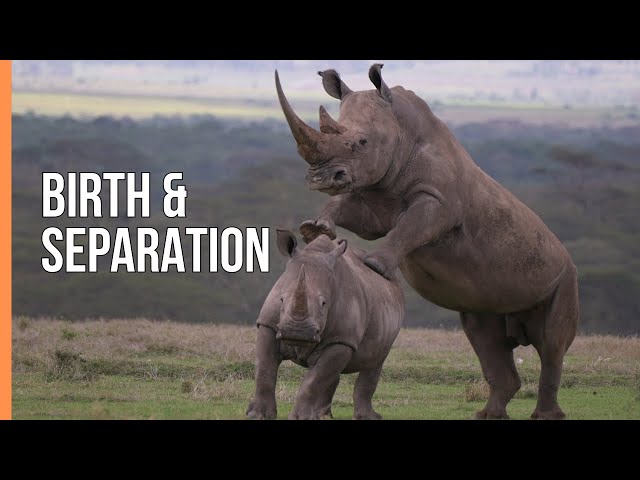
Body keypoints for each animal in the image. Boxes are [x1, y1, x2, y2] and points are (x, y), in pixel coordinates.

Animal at [246, 229, 404, 420]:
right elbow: (264, 371)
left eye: (324, 303)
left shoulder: (342, 340)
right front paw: (257, 415)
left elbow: (314, 380)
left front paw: (301, 418)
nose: (297, 332)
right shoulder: (268, 325)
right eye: (281, 299)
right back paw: (322, 416)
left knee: (374, 362)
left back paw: (368, 417)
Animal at [275, 64, 579, 420]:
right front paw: (315, 230)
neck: (400, 128)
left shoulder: (440, 202)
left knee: (551, 345)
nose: (320, 178)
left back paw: (543, 413)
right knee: (485, 335)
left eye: (362, 142)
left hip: (565, 275)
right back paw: (488, 415)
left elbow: (412, 226)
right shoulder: (375, 198)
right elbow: (347, 208)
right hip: (499, 293)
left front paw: (373, 265)